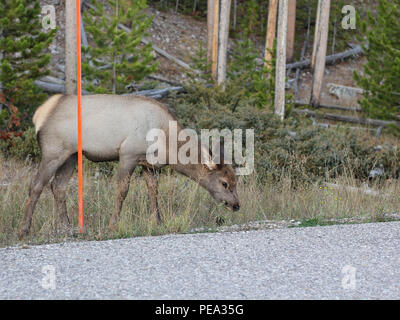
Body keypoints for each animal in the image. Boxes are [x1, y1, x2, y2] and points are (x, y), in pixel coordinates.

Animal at [19, 94, 241, 239]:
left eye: (235, 181)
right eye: (224, 183)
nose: (236, 205)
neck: (167, 144)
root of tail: (39, 115)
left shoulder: (149, 164)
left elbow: (153, 191)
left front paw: (158, 221)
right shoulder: (128, 154)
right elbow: (122, 191)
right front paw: (113, 224)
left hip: (71, 156)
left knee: (58, 187)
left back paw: (67, 228)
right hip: (53, 152)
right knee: (36, 185)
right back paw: (24, 230)